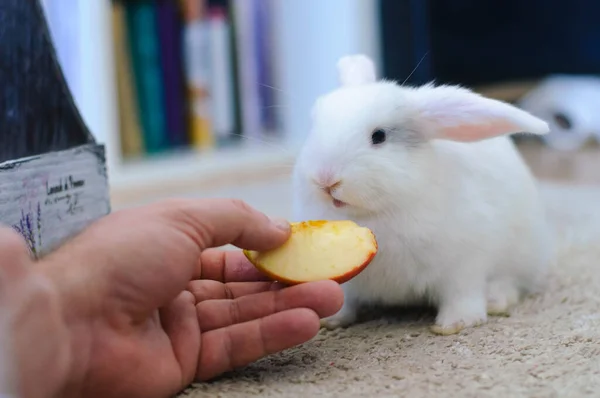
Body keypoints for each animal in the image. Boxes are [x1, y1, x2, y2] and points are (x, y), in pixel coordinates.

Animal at [290, 54, 552, 334]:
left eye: (379, 136)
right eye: (314, 126)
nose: (325, 180)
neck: (376, 213)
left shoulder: (464, 265)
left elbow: (463, 294)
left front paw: (455, 323)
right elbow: (344, 298)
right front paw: (331, 319)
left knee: (509, 283)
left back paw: (496, 300)